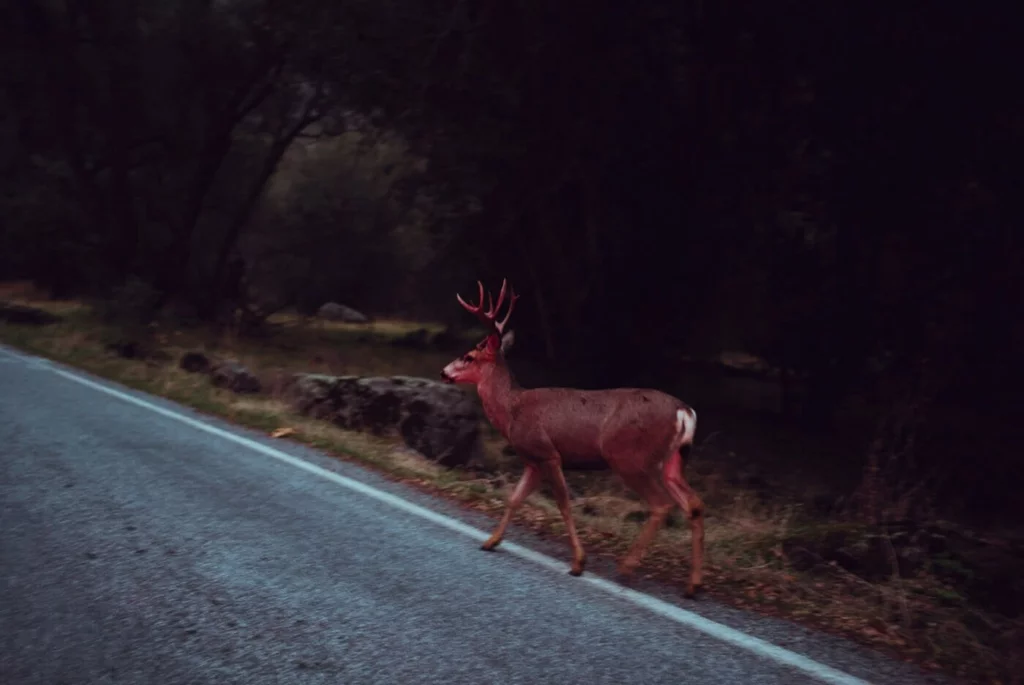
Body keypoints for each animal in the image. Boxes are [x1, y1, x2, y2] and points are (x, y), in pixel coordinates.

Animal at [440, 278, 704, 597]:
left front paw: (579, 562)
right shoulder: (532, 460)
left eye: (468, 356)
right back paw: (693, 584)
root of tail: (684, 411)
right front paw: (491, 541)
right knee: (693, 503)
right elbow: (514, 498)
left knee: (661, 503)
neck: (511, 410)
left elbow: (564, 503)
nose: (444, 372)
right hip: (672, 460)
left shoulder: (548, 453)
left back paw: (627, 567)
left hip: (630, 457)